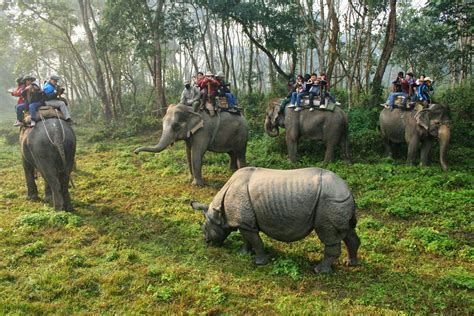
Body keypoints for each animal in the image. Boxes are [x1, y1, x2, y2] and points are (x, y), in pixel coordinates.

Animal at [191, 167, 362, 272]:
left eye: (205, 228)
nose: (207, 242)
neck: (219, 212)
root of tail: (348, 190)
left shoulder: (244, 222)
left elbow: (256, 241)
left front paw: (259, 263)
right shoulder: (245, 222)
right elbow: (247, 239)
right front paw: (243, 253)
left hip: (329, 202)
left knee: (328, 235)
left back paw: (319, 270)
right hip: (338, 202)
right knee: (347, 231)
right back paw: (350, 263)